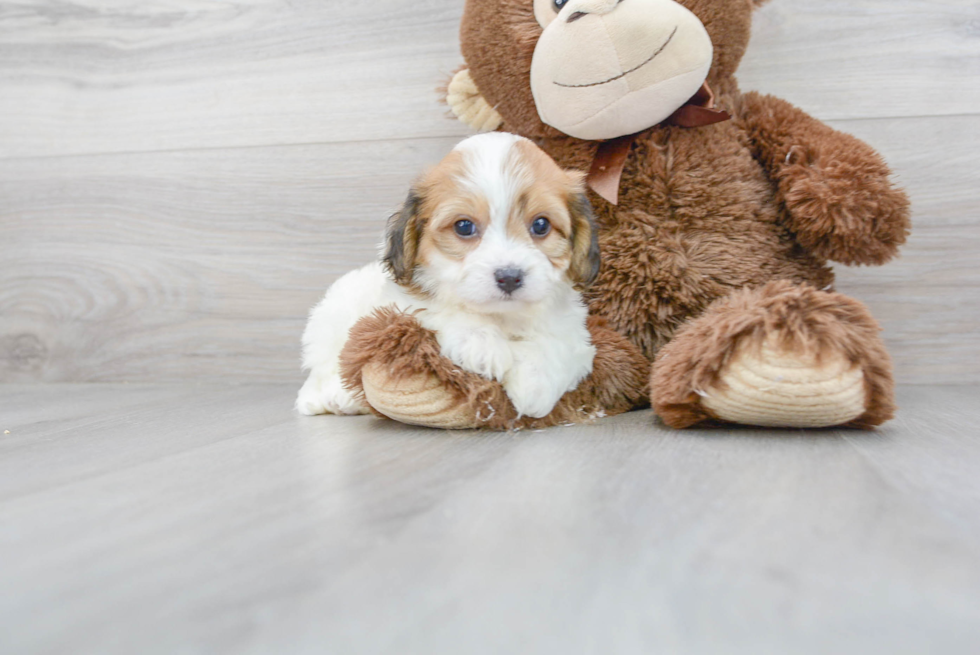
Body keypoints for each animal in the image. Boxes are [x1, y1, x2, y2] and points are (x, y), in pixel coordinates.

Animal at [294, 133, 600, 420]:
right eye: (464, 226)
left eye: (541, 225)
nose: (509, 277)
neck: (502, 316)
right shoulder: (399, 303)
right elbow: (441, 309)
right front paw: (482, 345)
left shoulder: (574, 331)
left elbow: (557, 345)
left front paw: (535, 384)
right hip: (330, 320)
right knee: (324, 368)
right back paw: (335, 396)